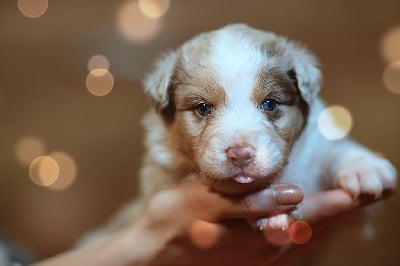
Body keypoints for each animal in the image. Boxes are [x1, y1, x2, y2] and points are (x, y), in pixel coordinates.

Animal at [85, 24, 396, 241]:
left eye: (270, 104)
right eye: (202, 108)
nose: (241, 154)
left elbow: (334, 151)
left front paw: (365, 168)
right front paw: (273, 215)